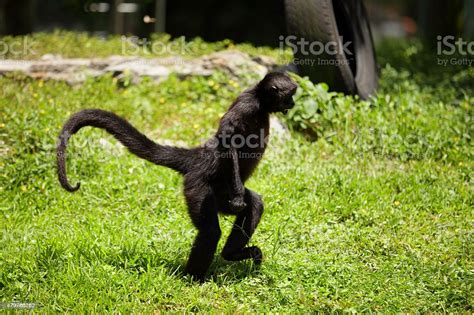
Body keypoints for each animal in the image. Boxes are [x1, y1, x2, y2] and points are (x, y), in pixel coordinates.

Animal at [57, 72, 298, 282]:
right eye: (290, 94)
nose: (293, 103)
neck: (260, 102)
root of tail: (199, 157)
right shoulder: (246, 106)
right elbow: (227, 140)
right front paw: (239, 197)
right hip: (199, 187)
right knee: (210, 231)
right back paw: (193, 279)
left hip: (222, 193)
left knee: (254, 203)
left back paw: (230, 255)